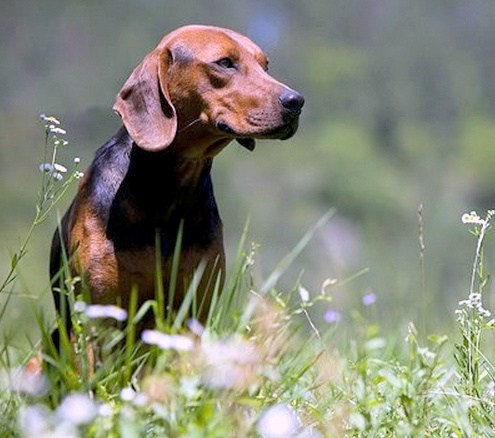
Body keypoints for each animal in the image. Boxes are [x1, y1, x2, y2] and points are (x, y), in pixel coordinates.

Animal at [51, 25, 306, 334]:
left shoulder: (195, 310)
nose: (297, 102)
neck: (167, 191)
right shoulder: (97, 317)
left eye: (265, 65)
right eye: (224, 63)